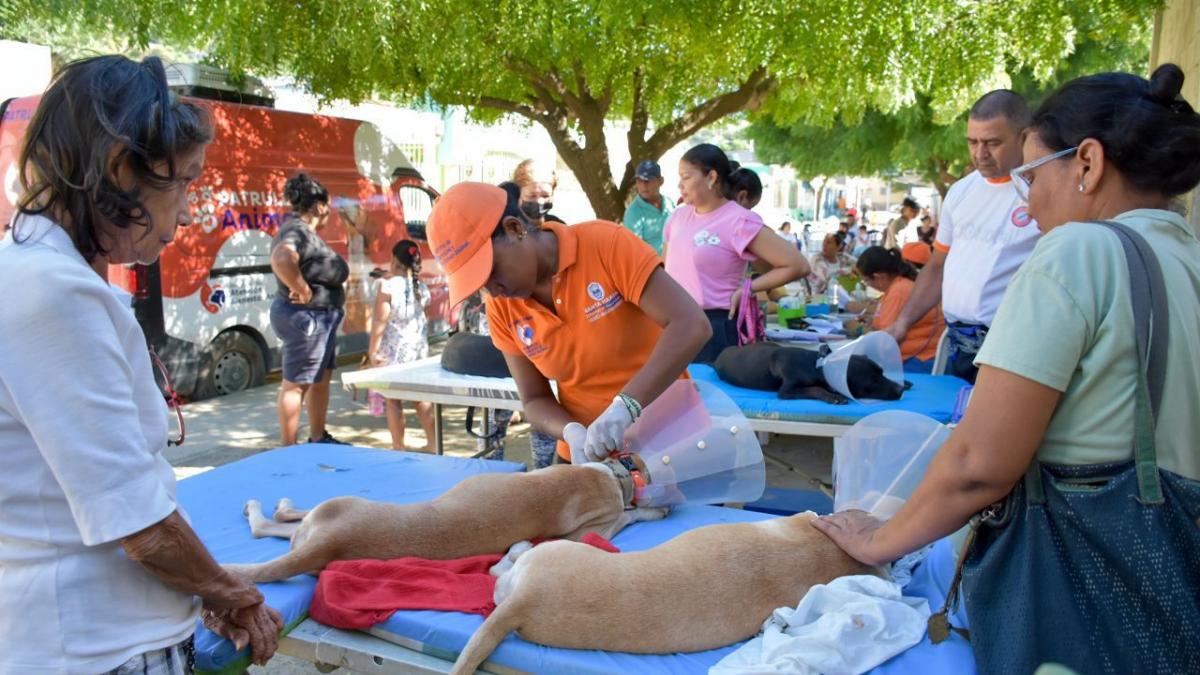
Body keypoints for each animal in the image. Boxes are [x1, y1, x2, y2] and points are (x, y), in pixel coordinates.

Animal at [225, 461, 672, 583]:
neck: (607, 477)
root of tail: (328, 545)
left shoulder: (595, 527)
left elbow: (631, 514)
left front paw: (652, 510)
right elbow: (629, 513)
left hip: (333, 511)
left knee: (275, 522)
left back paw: (265, 506)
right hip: (328, 516)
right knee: (277, 522)